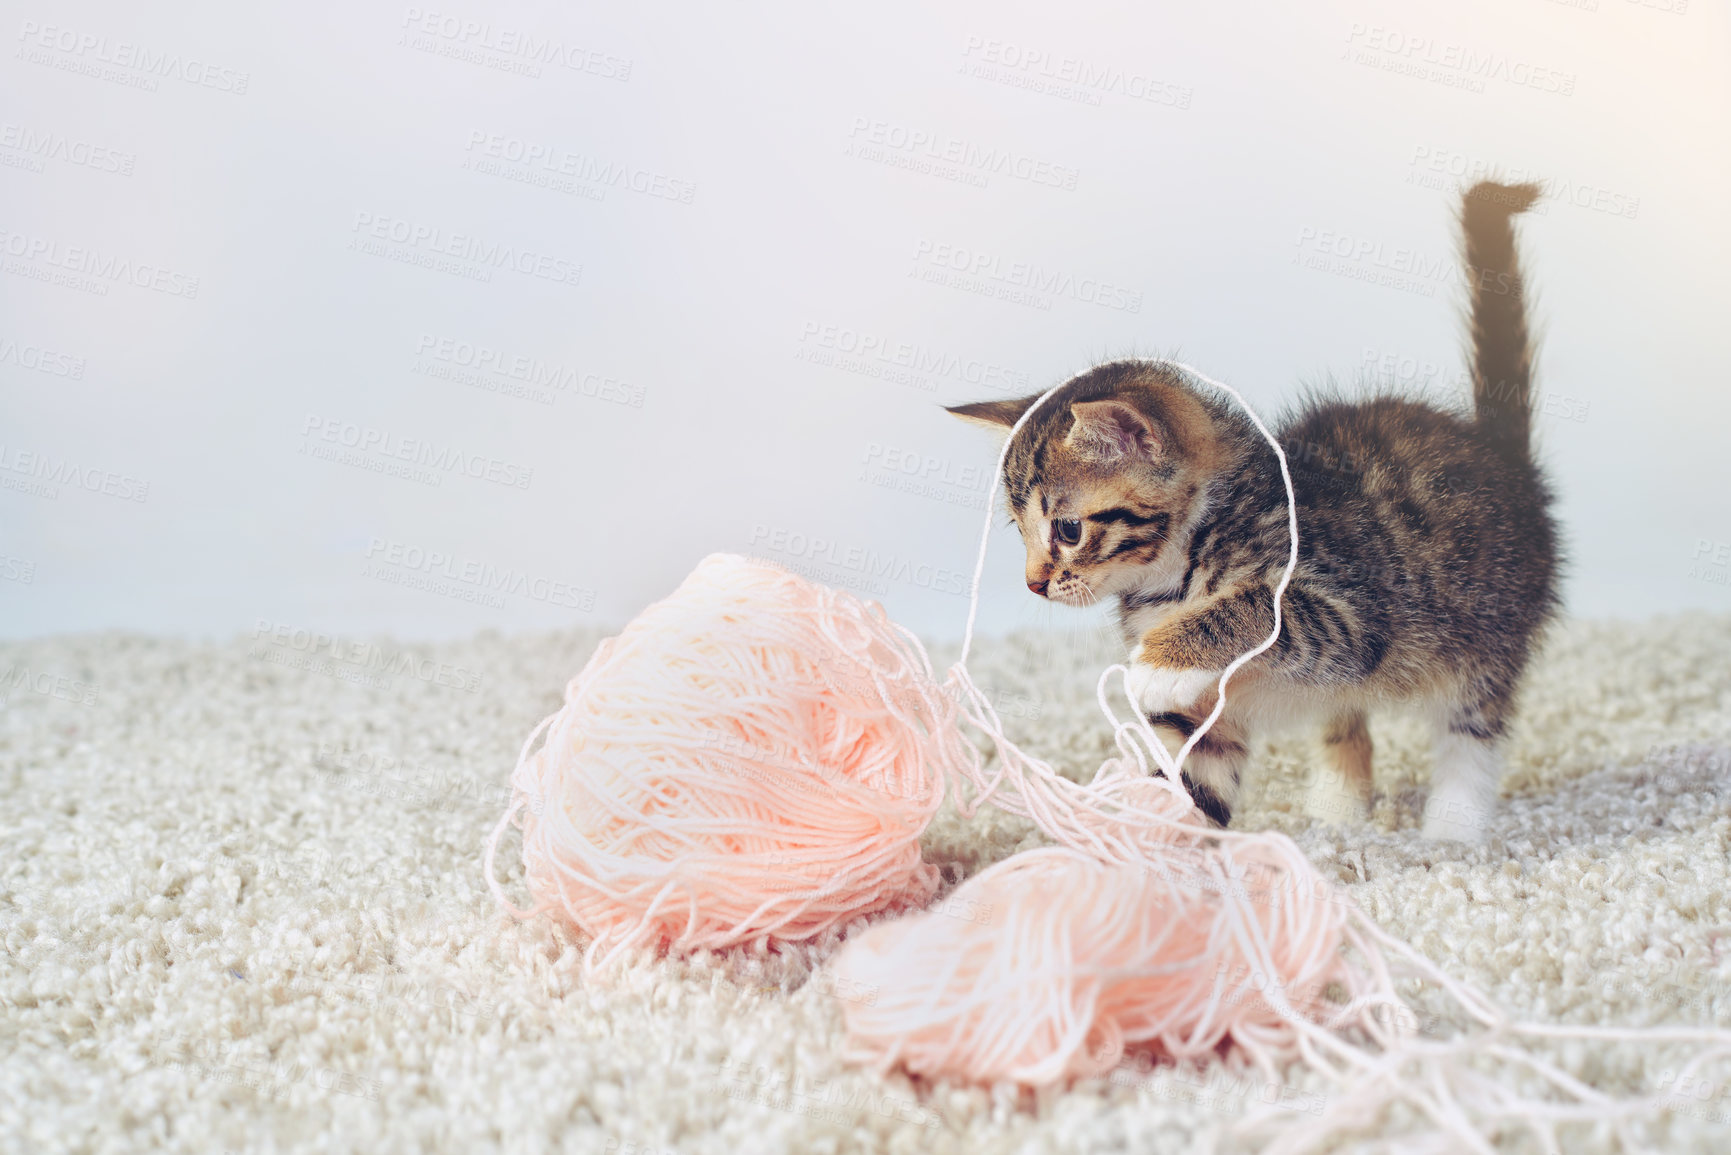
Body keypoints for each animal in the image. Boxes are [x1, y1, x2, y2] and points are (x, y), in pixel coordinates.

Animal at [955, 185, 1564, 845]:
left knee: (1473, 726)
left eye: (1067, 530)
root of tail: (1496, 450)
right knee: (1344, 717)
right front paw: (1145, 850)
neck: (1176, 573)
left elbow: (1265, 608)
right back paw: (1337, 810)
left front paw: (1158, 662)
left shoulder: (1353, 602)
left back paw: (1454, 824)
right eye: (1018, 531)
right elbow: (1191, 778)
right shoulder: (1205, 714)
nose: (1034, 584)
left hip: (1488, 628)